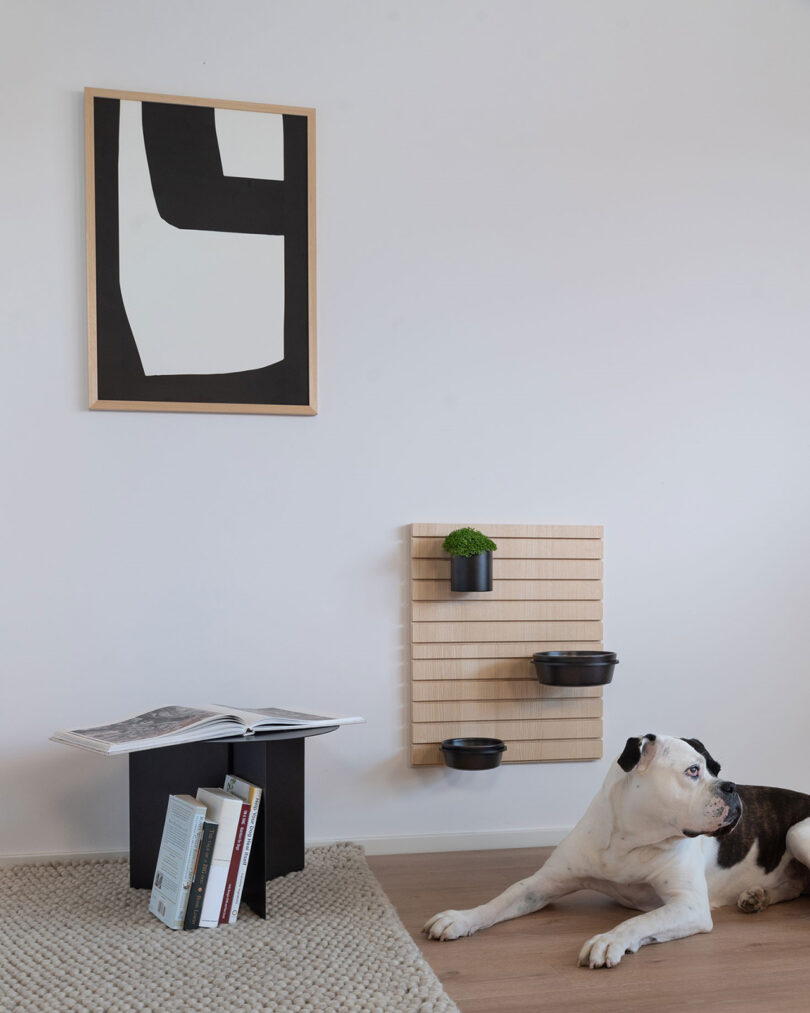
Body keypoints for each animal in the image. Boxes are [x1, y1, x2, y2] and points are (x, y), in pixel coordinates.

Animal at [423, 733, 810, 968]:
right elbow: (500, 899)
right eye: (693, 771)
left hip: (797, 833)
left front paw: (609, 940)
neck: (631, 839)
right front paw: (460, 918)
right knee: (796, 886)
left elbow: (640, 920)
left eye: (716, 770)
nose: (731, 787)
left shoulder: (689, 905)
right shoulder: (542, 884)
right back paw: (756, 896)